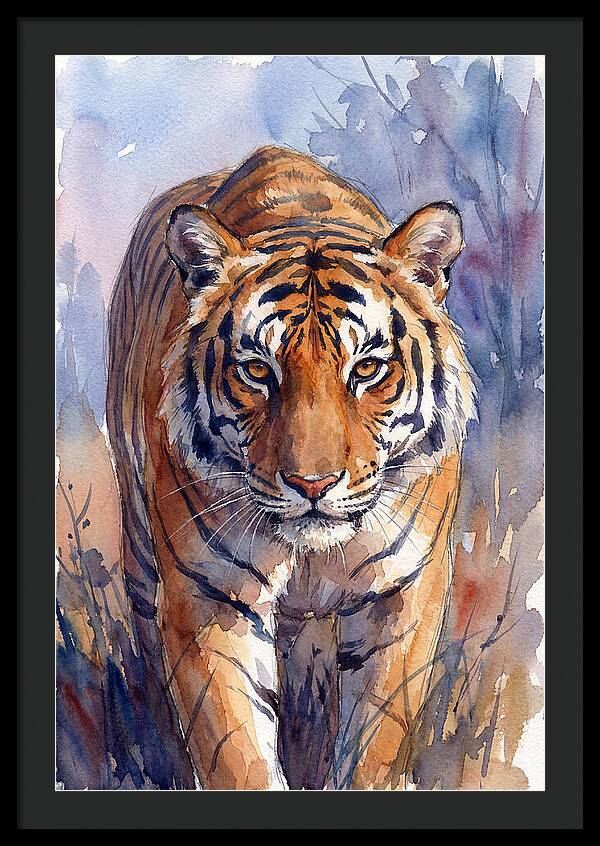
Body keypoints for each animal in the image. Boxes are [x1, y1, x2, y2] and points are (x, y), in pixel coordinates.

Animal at [107, 146, 476, 790]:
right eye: (258, 371)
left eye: (368, 369)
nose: (312, 484)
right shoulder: (209, 597)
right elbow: (236, 752)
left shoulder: (405, 592)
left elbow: (377, 738)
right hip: (140, 545)